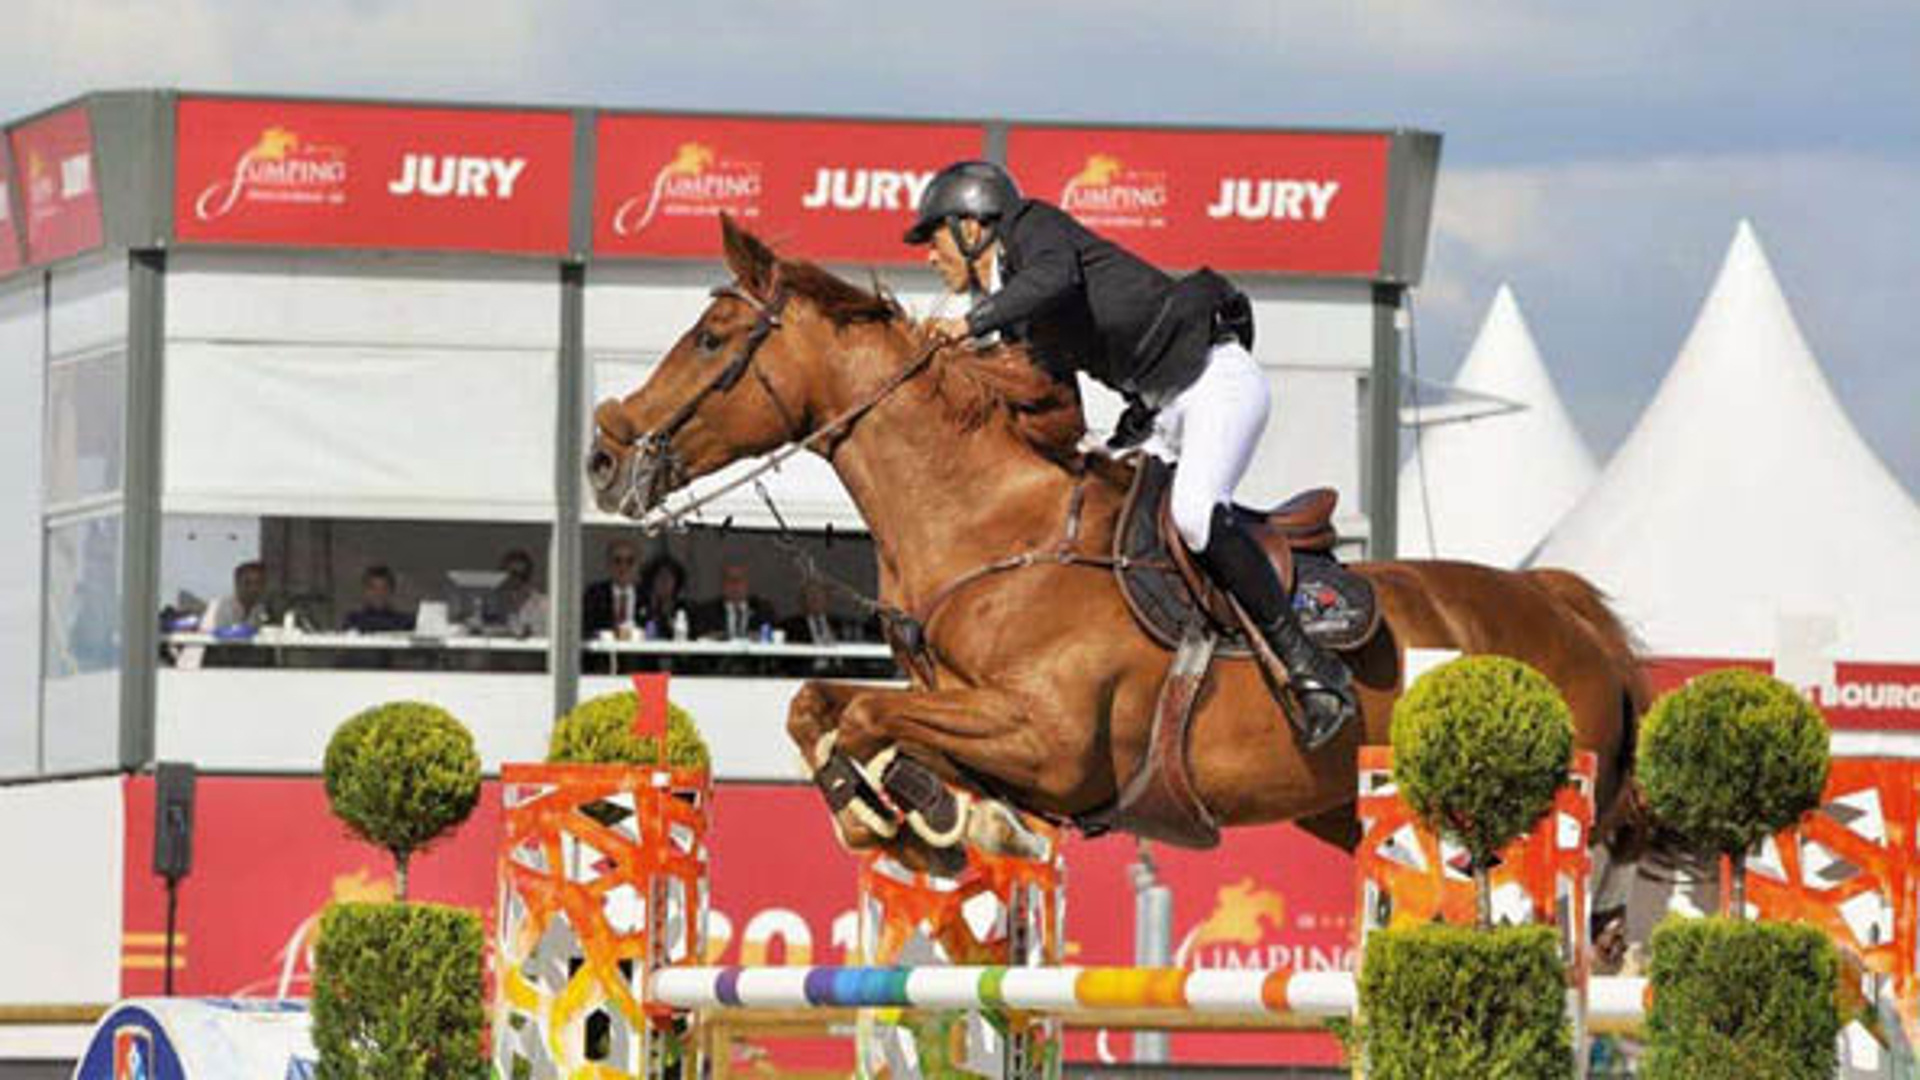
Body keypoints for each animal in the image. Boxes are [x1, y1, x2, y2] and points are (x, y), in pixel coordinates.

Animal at [591, 216, 1643, 876]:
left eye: (711, 336)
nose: (604, 455)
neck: (992, 532)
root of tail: (1562, 608)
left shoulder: (1049, 740)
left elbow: (864, 718)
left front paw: (941, 816)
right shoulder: (968, 712)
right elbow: (819, 704)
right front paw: (929, 815)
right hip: (1348, 810)